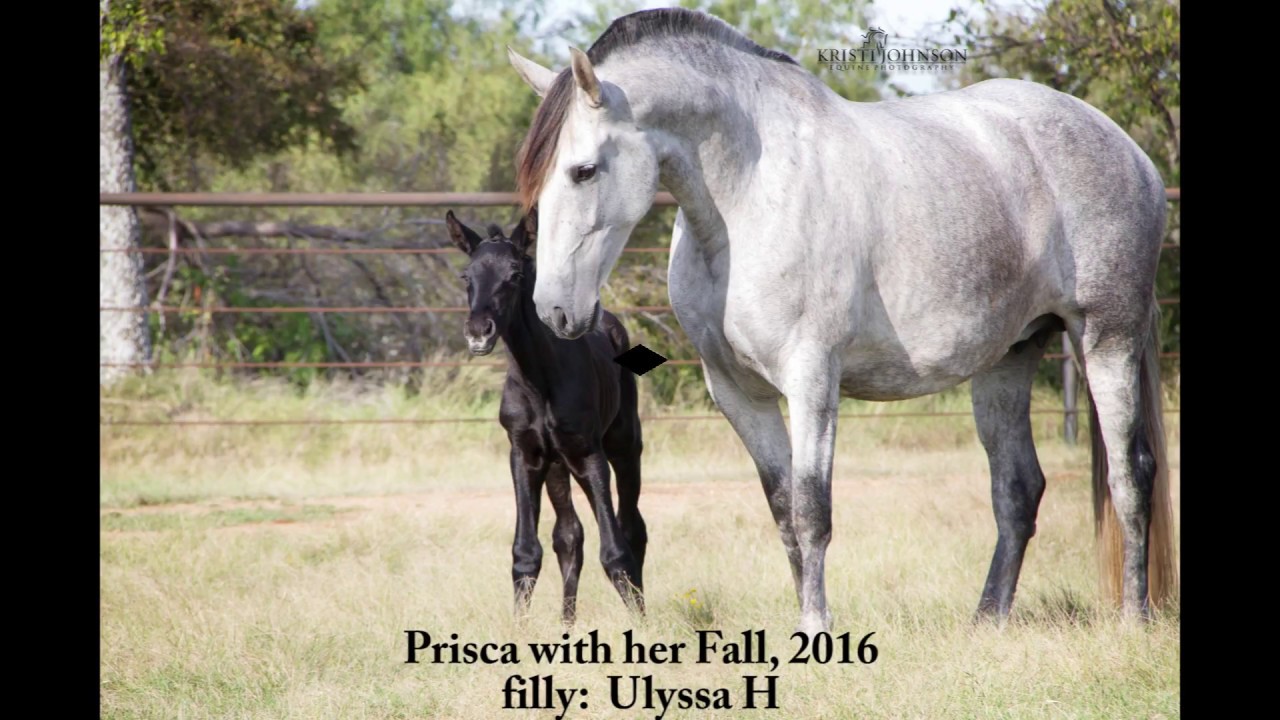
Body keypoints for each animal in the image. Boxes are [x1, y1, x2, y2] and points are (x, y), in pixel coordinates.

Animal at [445, 209, 648, 624]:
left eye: (515, 274)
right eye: (466, 276)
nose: (479, 333)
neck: (540, 381)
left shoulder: (589, 455)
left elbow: (616, 551)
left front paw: (644, 627)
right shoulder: (524, 455)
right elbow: (526, 552)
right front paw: (519, 631)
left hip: (623, 447)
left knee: (632, 528)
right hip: (557, 465)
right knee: (569, 535)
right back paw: (566, 622)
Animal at [504, 7, 1177, 634]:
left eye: (584, 170)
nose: (555, 310)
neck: (750, 195)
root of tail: (1130, 152)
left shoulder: (811, 381)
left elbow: (812, 512)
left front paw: (816, 631)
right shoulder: (738, 394)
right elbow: (782, 512)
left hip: (1106, 340)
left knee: (1131, 474)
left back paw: (1132, 619)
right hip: (1008, 358)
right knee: (1017, 489)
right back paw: (987, 621)